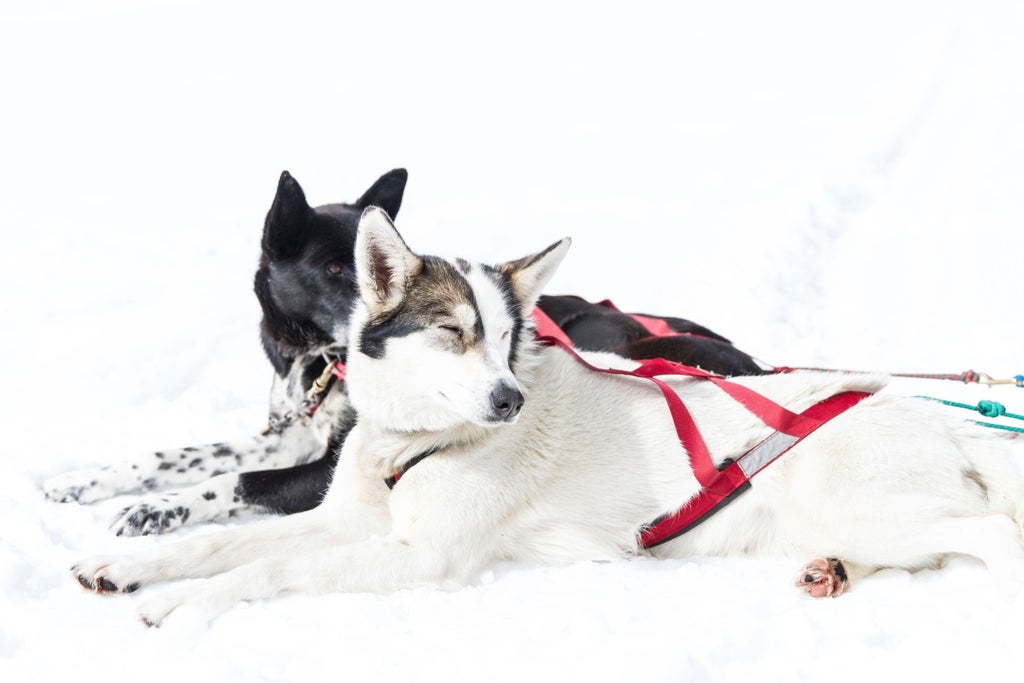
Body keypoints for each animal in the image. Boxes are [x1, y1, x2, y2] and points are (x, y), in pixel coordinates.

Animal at [41, 169, 761, 532]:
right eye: (335, 269)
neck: (320, 367)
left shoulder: (323, 468)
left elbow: (234, 480)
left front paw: (157, 507)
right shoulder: (288, 433)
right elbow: (180, 454)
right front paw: (82, 482)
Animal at [72, 210, 1024, 626]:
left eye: (507, 337)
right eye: (454, 332)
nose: (508, 400)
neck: (413, 444)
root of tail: (927, 410)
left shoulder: (417, 557)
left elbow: (262, 568)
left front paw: (182, 606)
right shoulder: (343, 517)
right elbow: (221, 541)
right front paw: (129, 565)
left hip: (863, 506)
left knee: (991, 535)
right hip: (850, 521)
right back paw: (830, 574)